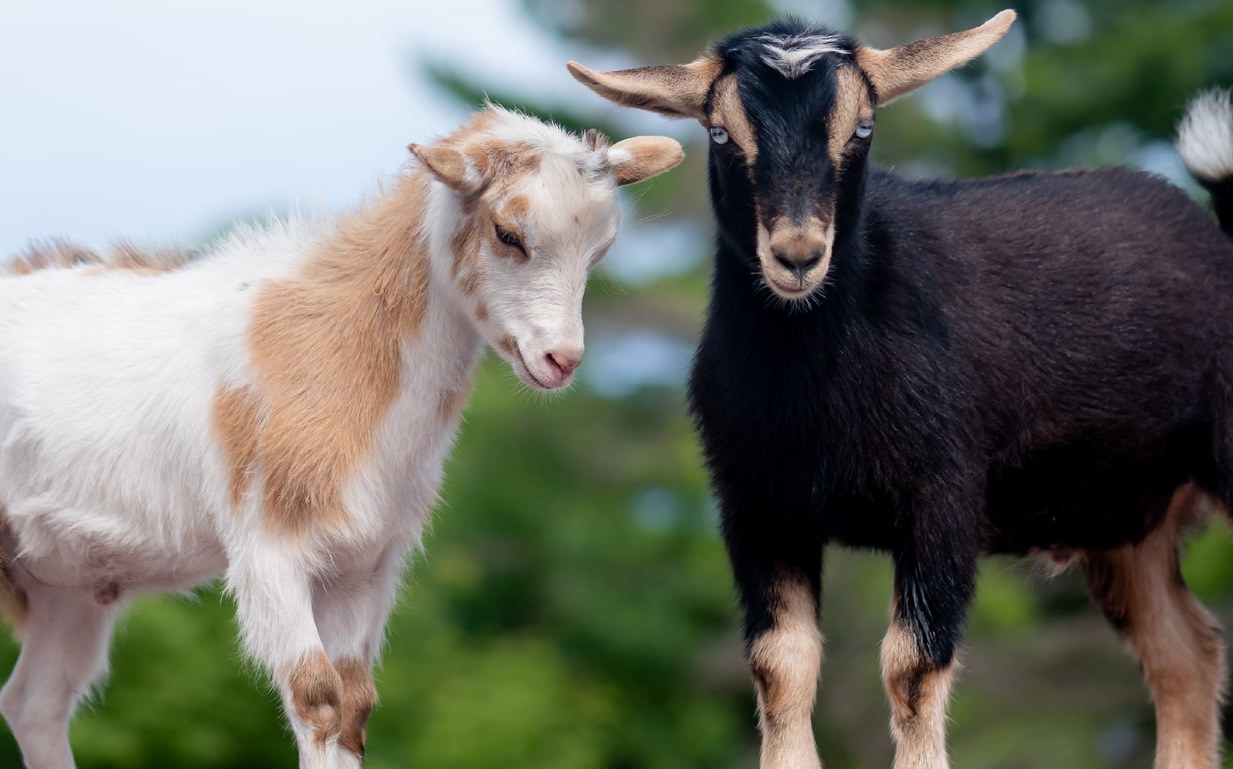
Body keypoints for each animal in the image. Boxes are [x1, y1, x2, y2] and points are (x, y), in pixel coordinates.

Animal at [0, 105, 683, 769]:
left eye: (599, 250)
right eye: (508, 233)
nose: (560, 359)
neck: (335, 340)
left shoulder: (363, 564)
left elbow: (353, 706)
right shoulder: (268, 547)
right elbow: (317, 697)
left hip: (66, 585)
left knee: (35, 703)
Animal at [569, 12, 1233, 769]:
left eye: (861, 128)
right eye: (720, 133)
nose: (798, 255)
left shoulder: (942, 497)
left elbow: (911, 664)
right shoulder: (758, 507)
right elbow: (780, 663)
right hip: (1128, 520)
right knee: (1185, 654)